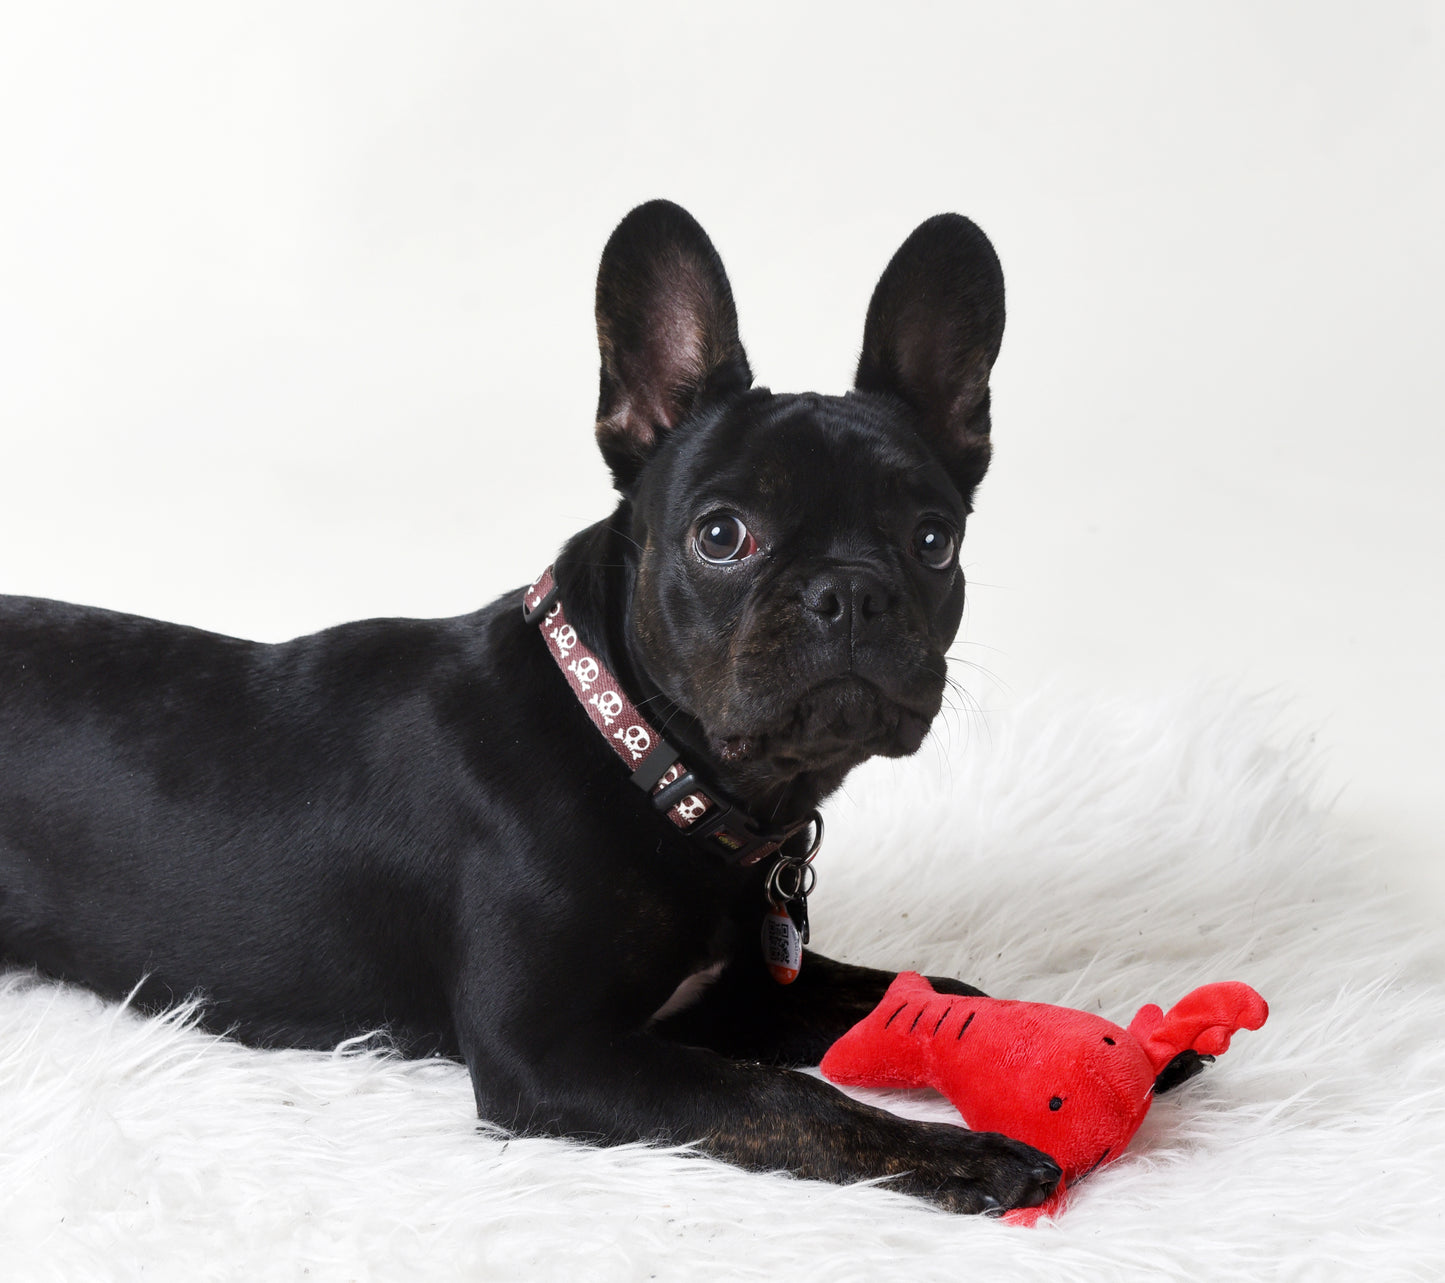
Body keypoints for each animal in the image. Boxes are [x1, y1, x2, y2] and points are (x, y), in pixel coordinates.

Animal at [0, 200, 1063, 1213]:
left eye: (933, 541)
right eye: (722, 535)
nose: (849, 592)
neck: (642, 756)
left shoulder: (742, 997)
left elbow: (923, 991)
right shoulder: (551, 1054)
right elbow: (786, 1097)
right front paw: (961, 1152)